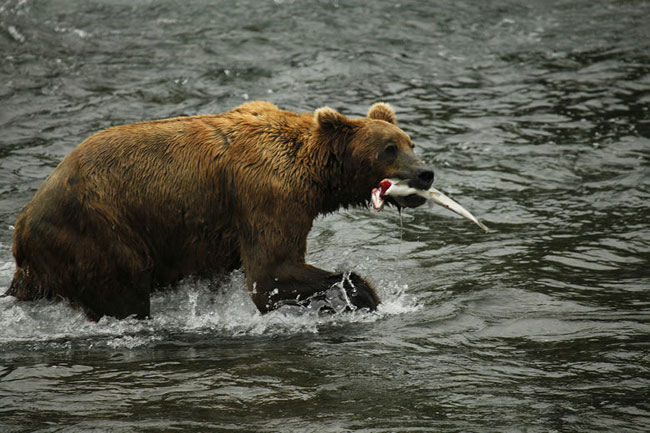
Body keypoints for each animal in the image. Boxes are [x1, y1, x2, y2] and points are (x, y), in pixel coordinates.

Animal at [5, 99, 432, 318]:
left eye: (410, 142)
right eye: (388, 149)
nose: (425, 172)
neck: (314, 177)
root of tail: (21, 228)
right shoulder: (267, 197)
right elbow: (270, 272)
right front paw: (364, 295)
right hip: (98, 231)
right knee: (123, 294)